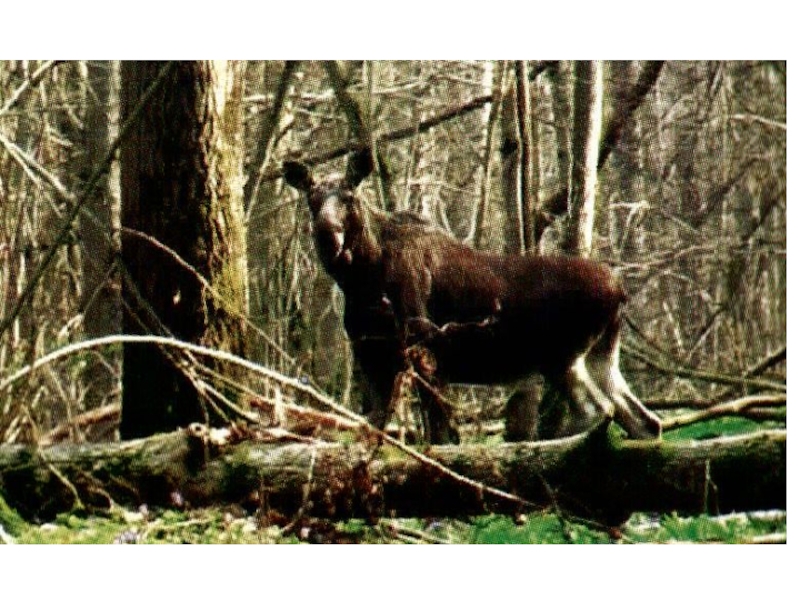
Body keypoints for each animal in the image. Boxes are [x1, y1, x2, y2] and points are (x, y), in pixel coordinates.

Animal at [282, 150, 664, 442]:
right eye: (312, 200)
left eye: (349, 198)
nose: (328, 234)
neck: (362, 280)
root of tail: (621, 292)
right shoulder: (371, 354)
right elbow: (376, 428)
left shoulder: (421, 345)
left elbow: (439, 434)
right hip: (600, 355)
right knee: (644, 420)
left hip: (562, 354)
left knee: (597, 411)